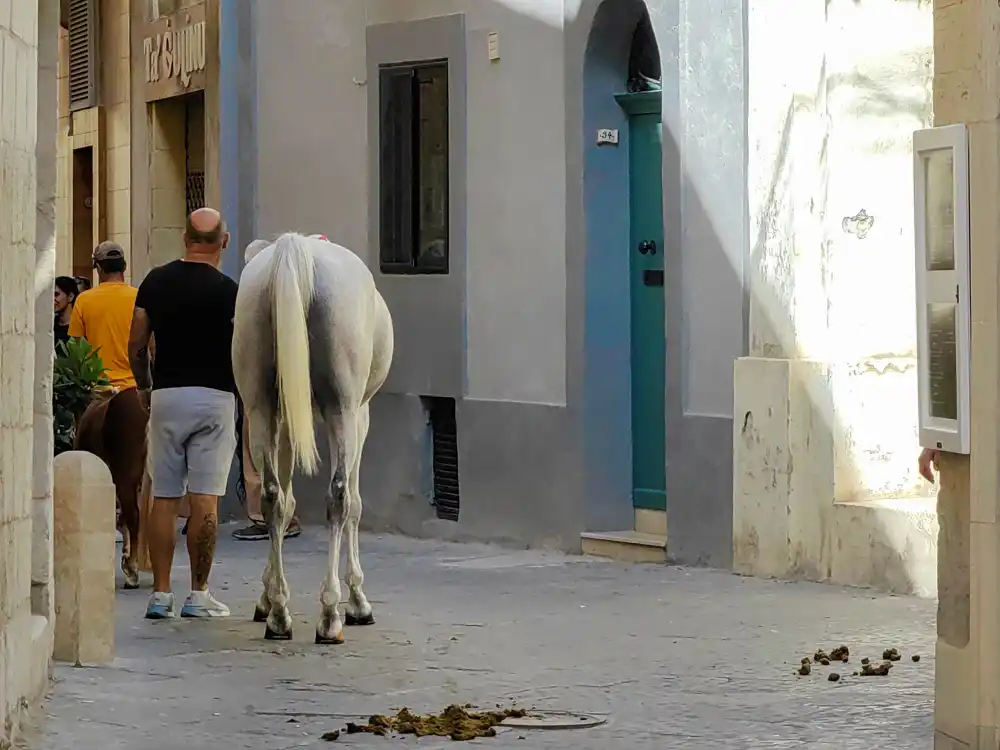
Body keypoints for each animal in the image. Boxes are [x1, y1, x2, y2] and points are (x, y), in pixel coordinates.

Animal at [232, 232, 392, 644]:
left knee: (273, 496)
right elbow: (354, 503)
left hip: (260, 409)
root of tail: (296, 250)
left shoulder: (287, 421)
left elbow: (286, 501)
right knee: (339, 496)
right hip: (343, 411)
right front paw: (357, 600)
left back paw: (279, 615)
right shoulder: (360, 415)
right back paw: (330, 613)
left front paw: (267, 597)